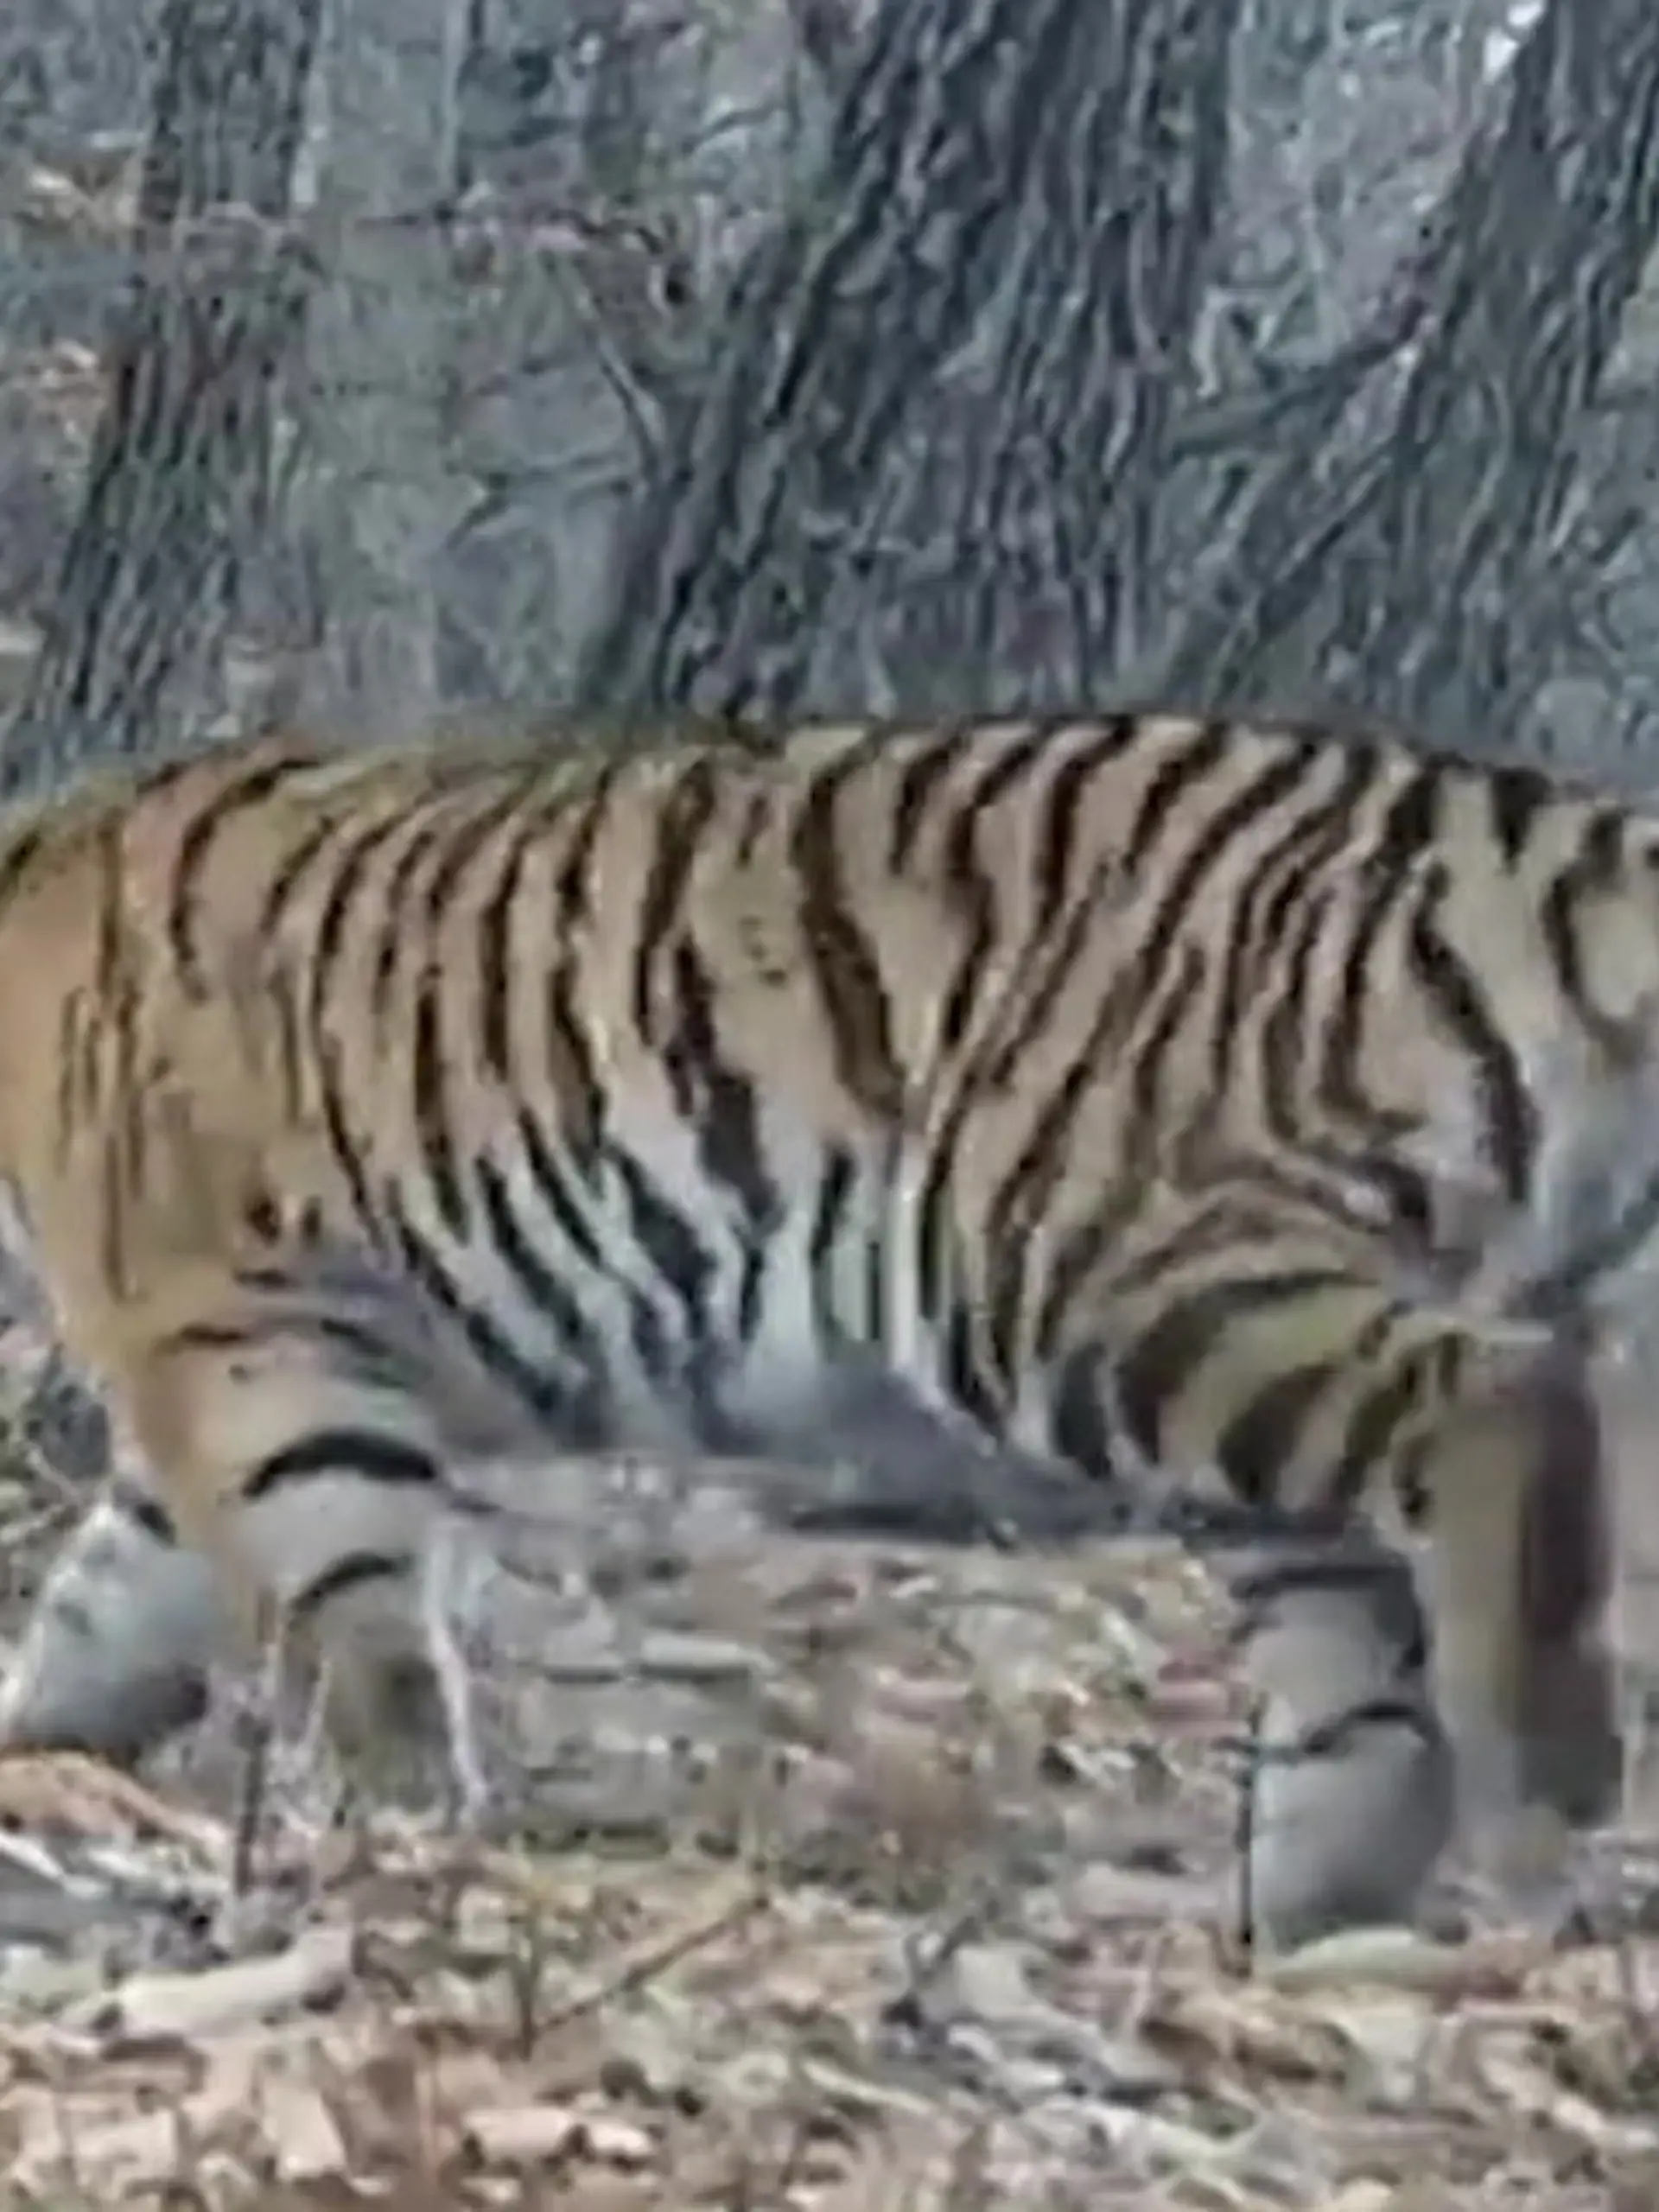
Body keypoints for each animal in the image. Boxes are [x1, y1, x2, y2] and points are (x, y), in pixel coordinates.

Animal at [0, 707, 1649, 1951]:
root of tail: (1513, 822)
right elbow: (107, 1598)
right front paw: (46, 1749)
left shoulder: (242, 1329)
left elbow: (343, 1593)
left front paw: (400, 1823)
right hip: (1226, 1402)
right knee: (1362, 1666)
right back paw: (1308, 1933)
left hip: (1066, 1263)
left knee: (1506, 1404)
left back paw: (1541, 1791)